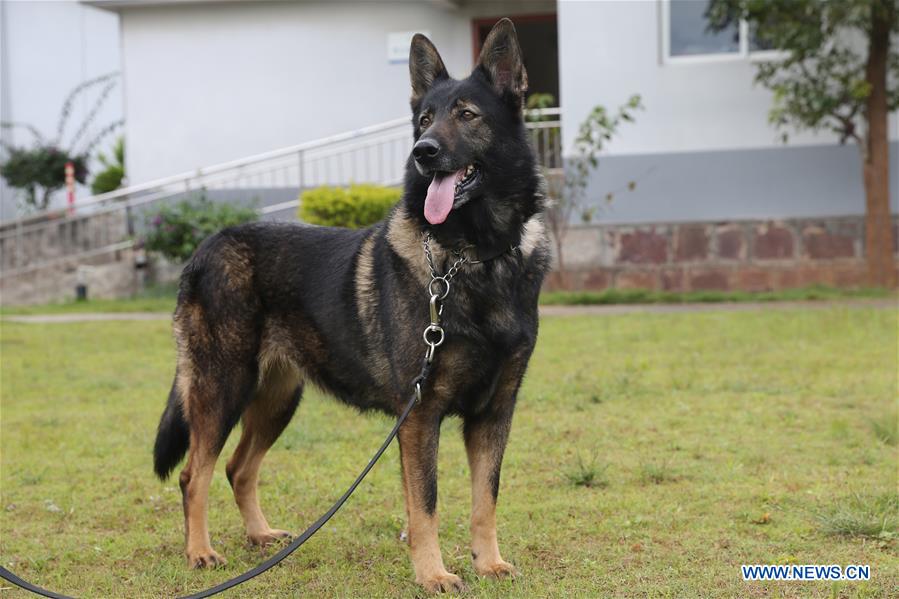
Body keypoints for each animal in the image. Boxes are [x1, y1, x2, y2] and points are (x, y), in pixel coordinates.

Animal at [153, 18, 548, 596]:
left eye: (467, 115)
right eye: (424, 119)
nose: (423, 152)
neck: (472, 255)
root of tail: (206, 247)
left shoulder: (494, 413)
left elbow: (485, 499)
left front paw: (488, 563)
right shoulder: (419, 416)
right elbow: (425, 504)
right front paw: (433, 573)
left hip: (276, 399)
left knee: (237, 468)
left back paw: (260, 536)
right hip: (223, 387)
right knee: (193, 473)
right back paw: (200, 552)